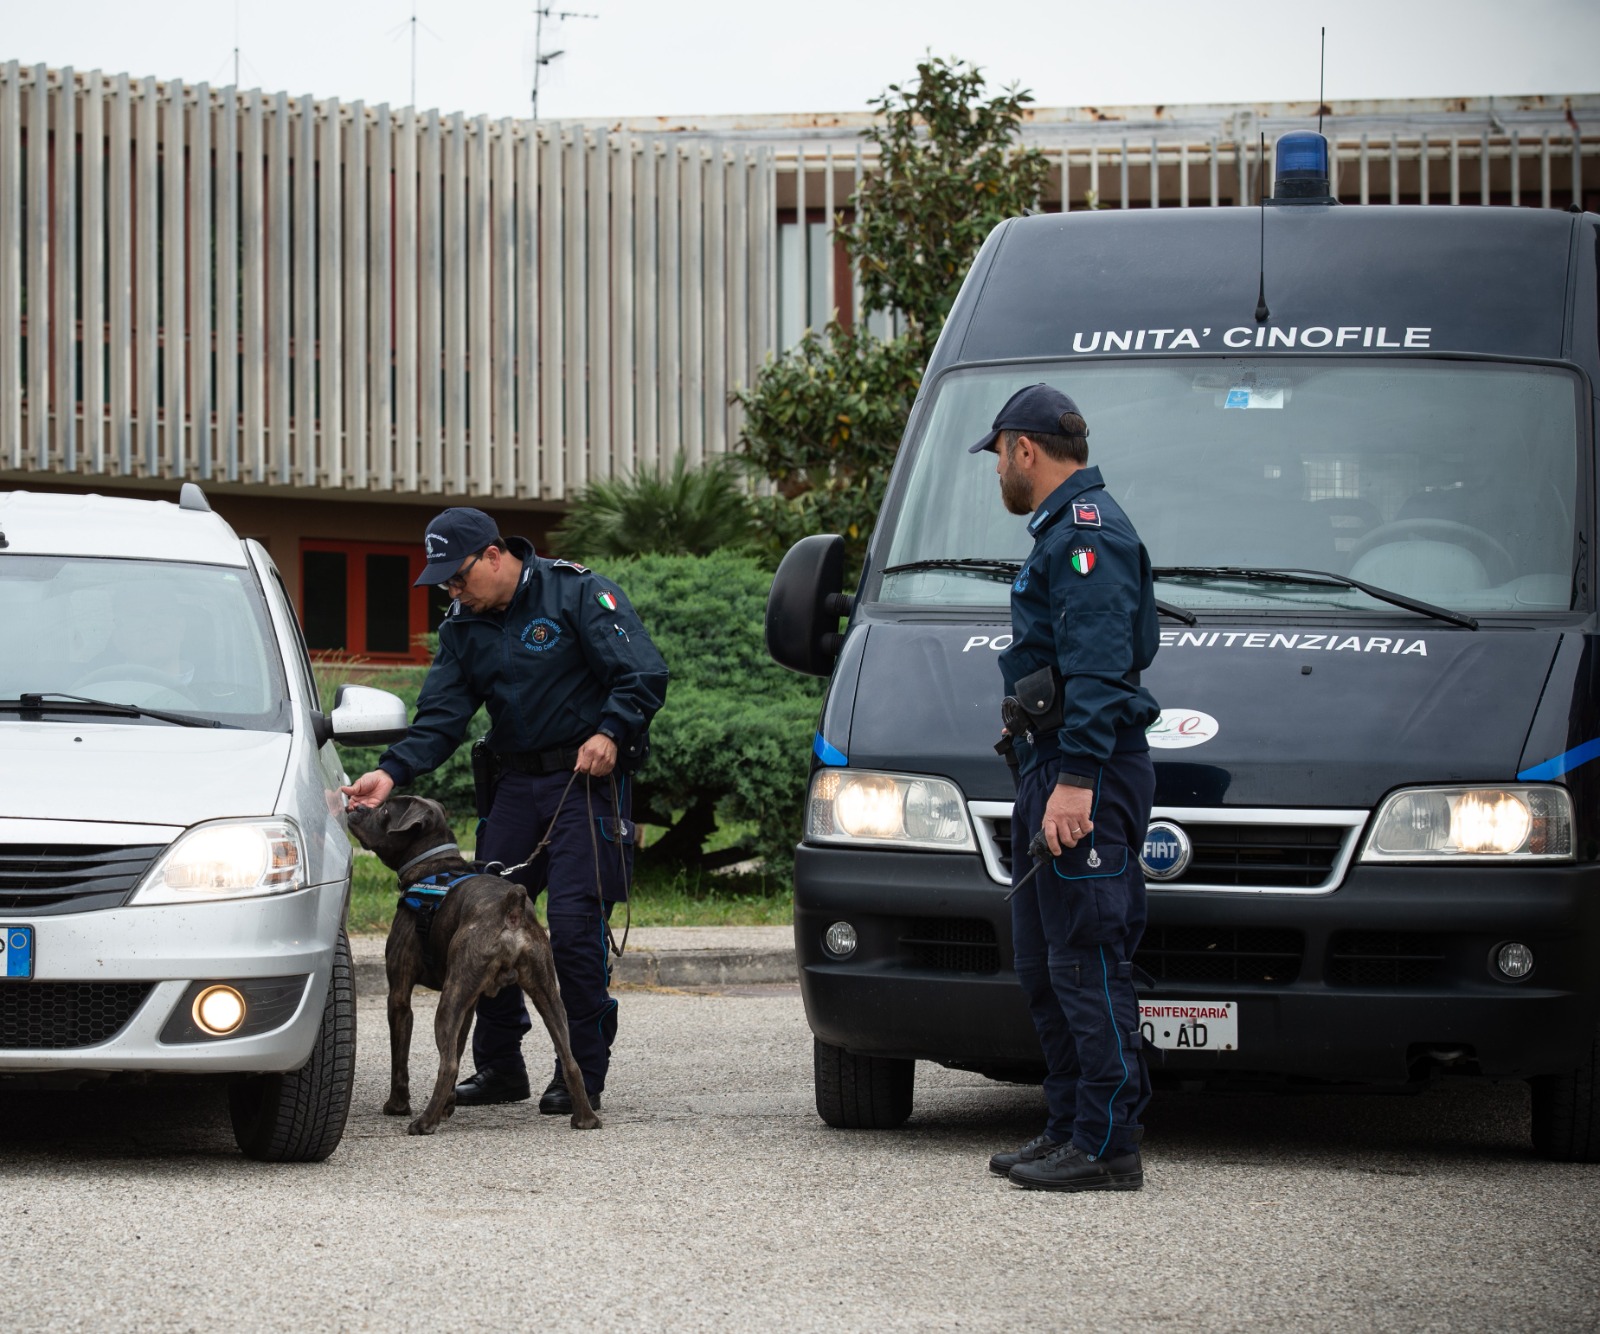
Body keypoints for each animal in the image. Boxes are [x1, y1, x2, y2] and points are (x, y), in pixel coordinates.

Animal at [348, 790, 601, 1132]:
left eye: (385, 810)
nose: (357, 806)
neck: (432, 866)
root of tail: (512, 908)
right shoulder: (468, 1002)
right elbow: (458, 1043)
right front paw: (448, 1106)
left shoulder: (400, 995)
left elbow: (400, 1058)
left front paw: (398, 1105)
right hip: (545, 992)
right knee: (571, 1059)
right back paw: (585, 1118)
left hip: (448, 1002)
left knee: (449, 1066)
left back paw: (424, 1123)